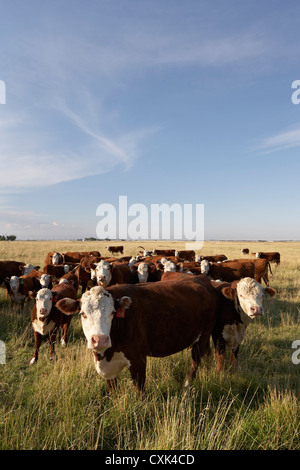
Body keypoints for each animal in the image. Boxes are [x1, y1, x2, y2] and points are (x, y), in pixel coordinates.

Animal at [56, 278, 220, 392]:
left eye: (112, 313)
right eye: (82, 314)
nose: (100, 340)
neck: (106, 355)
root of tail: (202, 280)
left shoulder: (138, 360)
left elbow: (140, 391)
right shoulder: (108, 369)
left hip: (203, 336)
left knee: (195, 361)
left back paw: (187, 385)